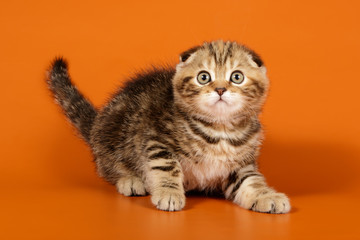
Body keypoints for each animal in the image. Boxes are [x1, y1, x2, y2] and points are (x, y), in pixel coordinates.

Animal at [47, 40, 290, 213]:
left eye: (237, 77)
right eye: (204, 77)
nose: (220, 89)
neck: (219, 129)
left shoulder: (240, 164)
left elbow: (250, 181)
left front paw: (267, 196)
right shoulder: (156, 138)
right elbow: (167, 166)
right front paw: (168, 193)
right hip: (113, 134)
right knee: (108, 166)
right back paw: (130, 180)